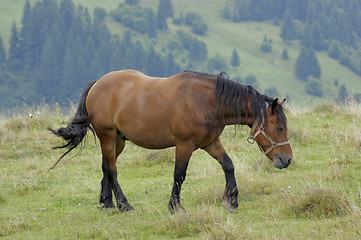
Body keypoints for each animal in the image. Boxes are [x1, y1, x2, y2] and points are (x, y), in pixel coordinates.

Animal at [49, 69, 292, 212]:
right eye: (279, 127)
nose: (287, 159)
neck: (207, 101)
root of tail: (98, 83)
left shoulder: (210, 143)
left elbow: (228, 166)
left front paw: (231, 201)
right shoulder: (185, 145)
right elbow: (179, 175)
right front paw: (175, 206)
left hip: (118, 140)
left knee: (106, 166)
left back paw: (107, 202)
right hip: (107, 136)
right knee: (111, 169)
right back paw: (124, 204)